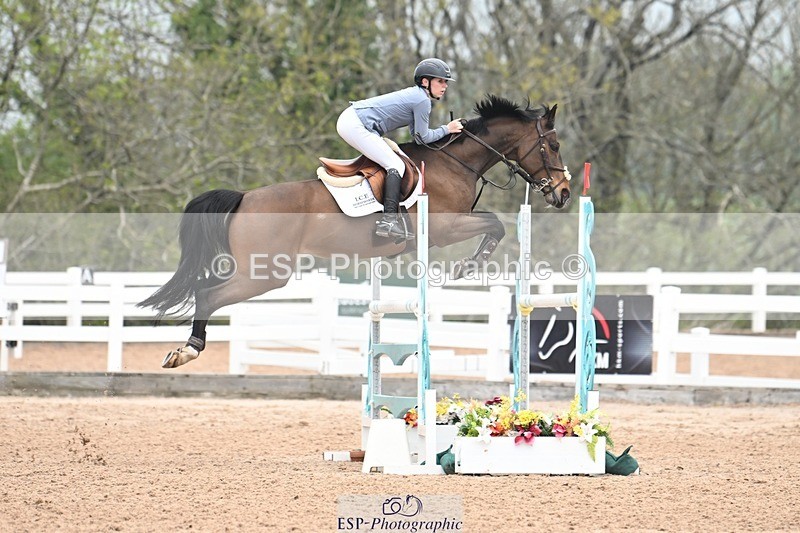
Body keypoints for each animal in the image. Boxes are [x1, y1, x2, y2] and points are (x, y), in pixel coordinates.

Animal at [139, 95, 571, 368]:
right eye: (552, 146)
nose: (564, 193)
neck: (455, 162)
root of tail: (244, 197)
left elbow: (494, 223)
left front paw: (470, 265)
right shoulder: (445, 228)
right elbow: (494, 224)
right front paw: (470, 266)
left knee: (206, 291)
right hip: (265, 274)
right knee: (208, 294)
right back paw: (187, 351)